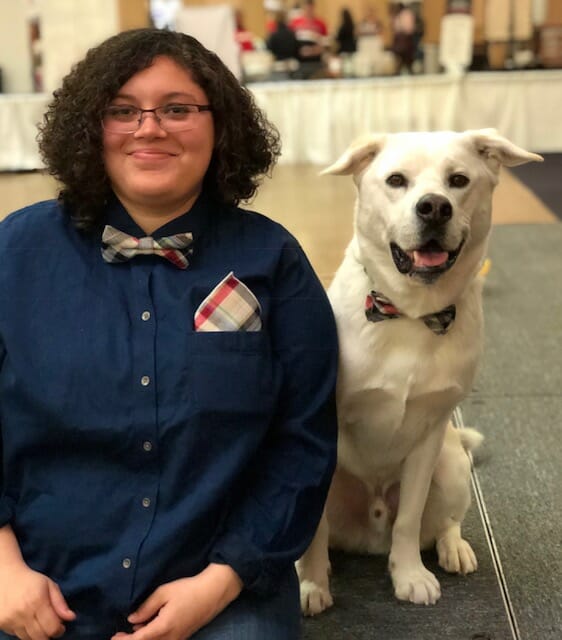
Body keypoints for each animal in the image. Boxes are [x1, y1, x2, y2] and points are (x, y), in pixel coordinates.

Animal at [296, 130, 540, 616]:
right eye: (396, 180)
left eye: (458, 180)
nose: (434, 207)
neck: (409, 314)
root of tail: (369, 535)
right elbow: (313, 532)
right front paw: (312, 584)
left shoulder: (428, 433)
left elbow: (408, 521)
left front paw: (408, 575)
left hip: (451, 466)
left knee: (442, 522)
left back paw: (453, 549)